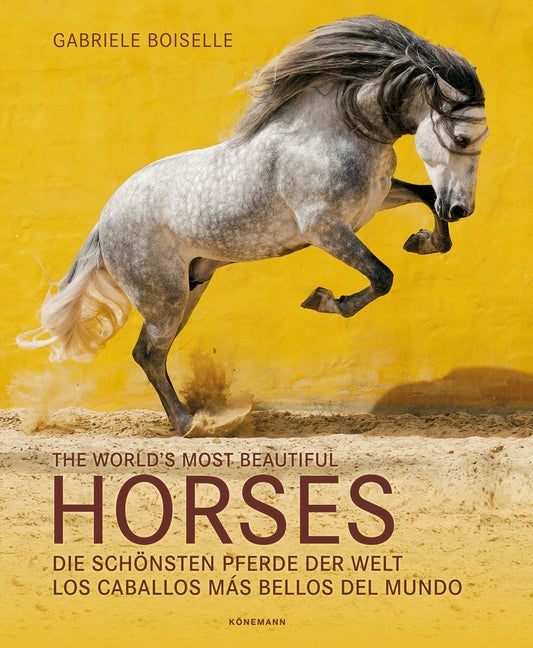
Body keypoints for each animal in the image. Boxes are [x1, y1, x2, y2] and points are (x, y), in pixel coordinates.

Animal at [17, 15, 488, 435]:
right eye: (462, 139)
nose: (462, 209)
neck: (336, 131)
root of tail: (105, 220)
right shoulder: (325, 228)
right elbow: (382, 276)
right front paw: (323, 300)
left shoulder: (375, 201)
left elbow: (426, 199)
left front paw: (423, 241)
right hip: (164, 299)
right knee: (148, 353)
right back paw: (190, 424)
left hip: (191, 288)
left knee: (150, 354)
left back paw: (190, 421)